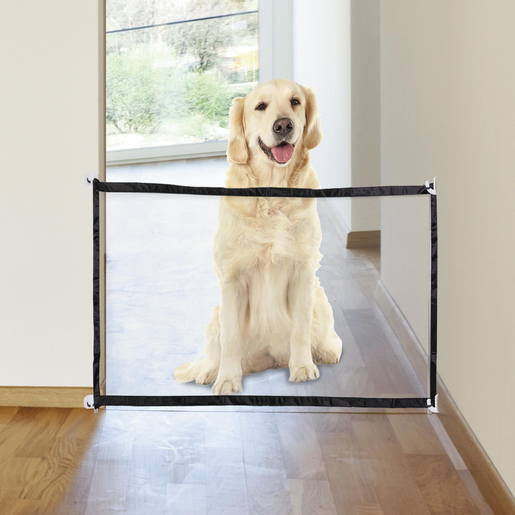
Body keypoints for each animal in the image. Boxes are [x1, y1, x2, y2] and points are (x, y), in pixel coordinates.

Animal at [174, 77, 342, 396]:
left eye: (295, 102)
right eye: (260, 106)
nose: (284, 125)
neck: (272, 193)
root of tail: (271, 359)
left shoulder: (303, 271)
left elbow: (300, 328)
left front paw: (302, 367)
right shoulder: (231, 278)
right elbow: (230, 339)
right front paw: (227, 379)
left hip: (320, 297)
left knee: (330, 338)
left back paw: (325, 352)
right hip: (215, 314)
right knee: (215, 350)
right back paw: (208, 371)